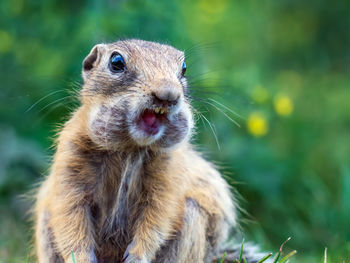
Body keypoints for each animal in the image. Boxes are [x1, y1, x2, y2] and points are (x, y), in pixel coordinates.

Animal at [35, 39, 264, 263]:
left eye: (184, 67)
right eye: (116, 62)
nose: (168, 94)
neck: (131, 148)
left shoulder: (168, 175)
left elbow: (157, 216)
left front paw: (137, 256)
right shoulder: (70, 164)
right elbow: (71, 216)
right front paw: (81, 257)